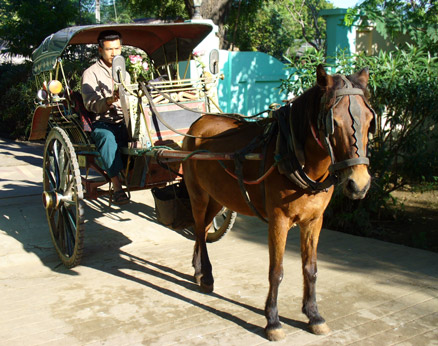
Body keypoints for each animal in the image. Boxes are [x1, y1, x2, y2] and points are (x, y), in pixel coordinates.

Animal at [181, 65, 376, 340]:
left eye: (369, 121)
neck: (293, 155)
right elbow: (277, 271)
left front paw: (314, 315)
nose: (358, 184)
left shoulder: (314, 221)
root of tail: (198, 123)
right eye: (333, 123)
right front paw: (273, 320)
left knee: (204, 229)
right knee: (199, 230)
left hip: (218, 197)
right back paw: (206, 276)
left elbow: (310, 268)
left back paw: (199, 271)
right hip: (198, 194)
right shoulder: (278, 221)